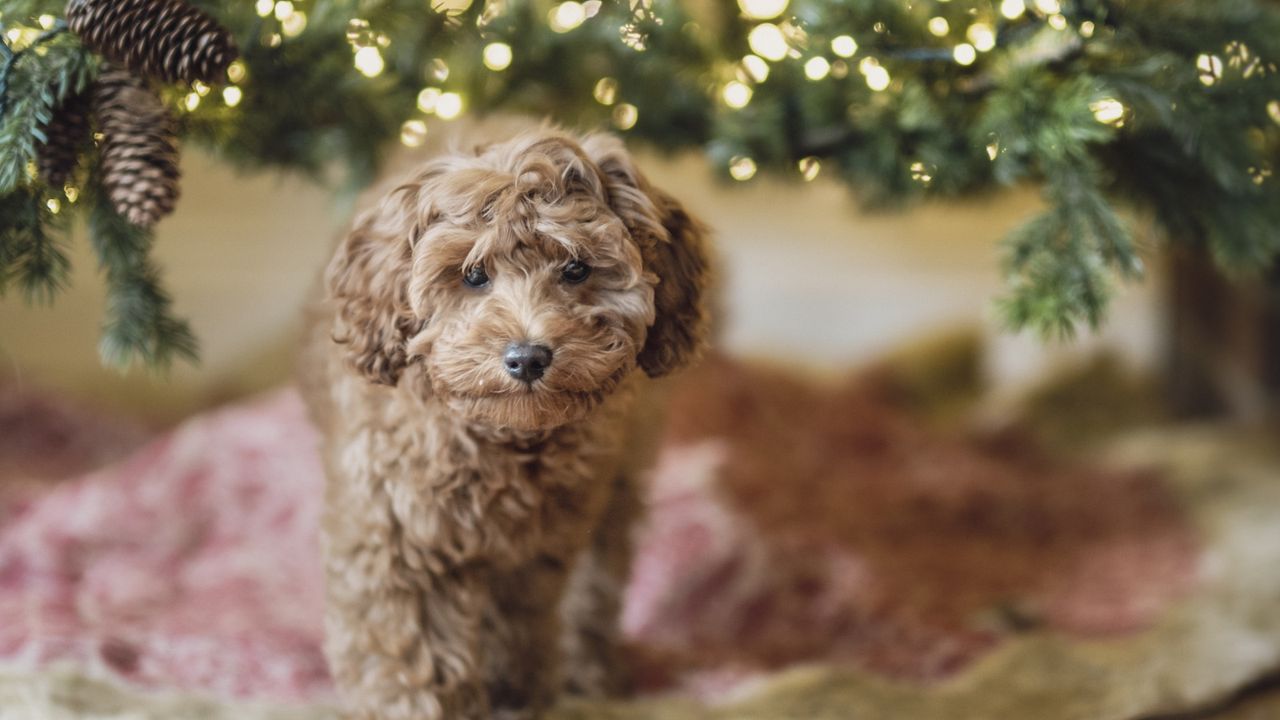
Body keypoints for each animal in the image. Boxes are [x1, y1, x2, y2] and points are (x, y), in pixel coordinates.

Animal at [300, 130, 716, 717]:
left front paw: (519, 693)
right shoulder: (393, 532)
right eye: (472, 276)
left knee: (597, 580)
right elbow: (410, 653)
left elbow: (523, 620)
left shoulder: (538, 546)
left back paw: (589, 672)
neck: (503, 437)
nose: (527, 357)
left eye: (576, 269)